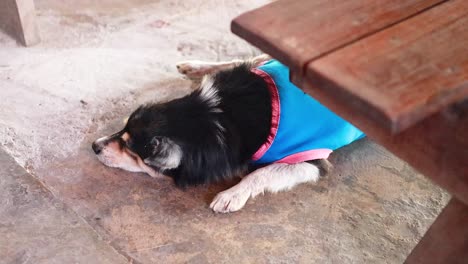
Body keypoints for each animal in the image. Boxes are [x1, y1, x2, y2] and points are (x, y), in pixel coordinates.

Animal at [90, 54, 362, 213]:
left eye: (129, 147)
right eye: (122, 130)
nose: (94, 146)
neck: (215, 117)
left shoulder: (312, 160)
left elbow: (260, 173)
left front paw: (231, 194)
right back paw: (197, 67)